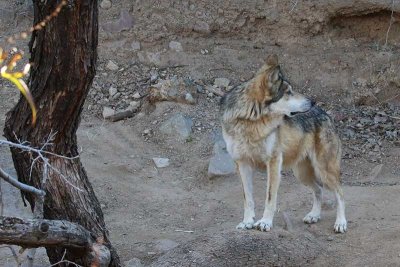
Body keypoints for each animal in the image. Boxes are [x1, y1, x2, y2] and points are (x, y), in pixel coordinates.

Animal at [219, 55, 346, 234]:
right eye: (288, 92)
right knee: (319, 190)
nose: (313, 101)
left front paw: (265, 222)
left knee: (340, 193)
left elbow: (270, 197)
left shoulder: (273, 162)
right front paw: (247, 222)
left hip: (323, 170)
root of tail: (326, 114)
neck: (251, 121)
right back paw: (314, 215)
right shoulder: (242, 163)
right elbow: (247, 199)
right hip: (301, 174)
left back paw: (341, 223)